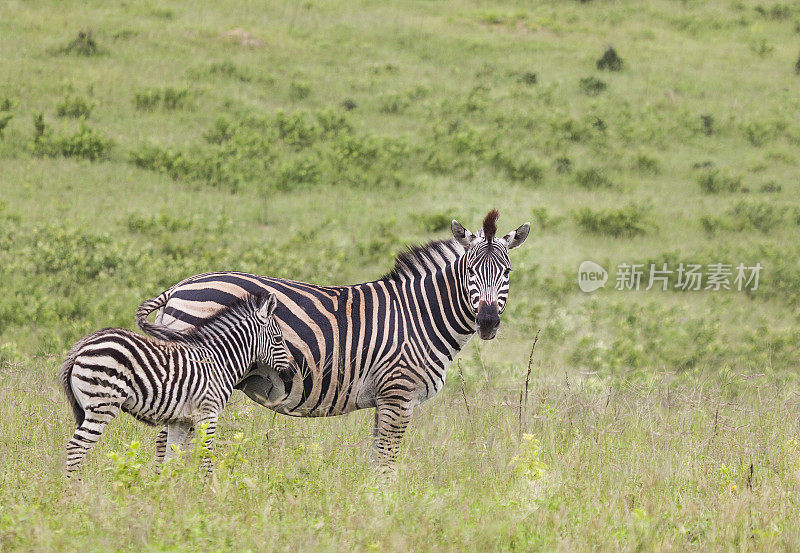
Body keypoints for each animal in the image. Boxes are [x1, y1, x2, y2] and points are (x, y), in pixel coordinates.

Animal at [60, 292, 290, 476]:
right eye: (279, 340)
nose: (291, 371)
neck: (218, 361)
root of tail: (81, 346)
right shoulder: (208, 413)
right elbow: (205, 456)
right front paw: (209, 493)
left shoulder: (181, 420)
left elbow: (171, 458)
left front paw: (165, 494)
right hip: (102, 405)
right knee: (76, 447)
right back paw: (75, 492)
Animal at [134, 211, 528, 466]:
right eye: (470, 271)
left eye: (507, 272)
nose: (488, 322)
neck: (419, 315)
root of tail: (179, 286)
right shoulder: (398, 394)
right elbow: (386, 462)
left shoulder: (385, 399)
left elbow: (376, 458)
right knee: (167, 442)